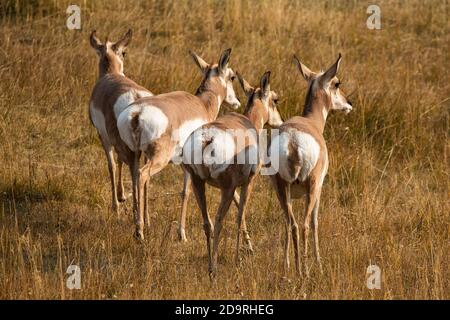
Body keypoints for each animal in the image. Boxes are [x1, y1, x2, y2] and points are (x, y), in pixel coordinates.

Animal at [88, 29, 153, 215]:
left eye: (124, 52)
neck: (111, 74)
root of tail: (136, 98)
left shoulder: (104, 137)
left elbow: (112, 165)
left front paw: (116, 204)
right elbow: (117, 162)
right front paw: (121, 196)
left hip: (130, 149)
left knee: (135, 172)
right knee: (145, 175)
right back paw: (145, 214)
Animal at [118, 47, 241, 238]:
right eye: (232, 76)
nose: (237, 103)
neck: (202, 104)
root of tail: (137, 113)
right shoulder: (189, 164)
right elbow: (186, 192)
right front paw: (182, 234)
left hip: (134, 155)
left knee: (136, 177)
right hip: (158, 159)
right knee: (142, 175)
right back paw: (140, 231)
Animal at [182, 70, 282, 278]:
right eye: (275, 99)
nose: (280, 122)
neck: (248, 123)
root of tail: (208, 138)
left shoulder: (234, 187)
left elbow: (240, 214)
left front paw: (249, 247)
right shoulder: (247, 182)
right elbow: (240, 214)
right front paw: (239, 258)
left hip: (198, 183)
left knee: (207, 222)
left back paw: (210, 264)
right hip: (224, 190)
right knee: (219, 220)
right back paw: (214, 269)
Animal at [268, 53, 354, 276]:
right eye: (336, 83)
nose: (349, 103)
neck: (310, 121)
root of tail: (293, 141)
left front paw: (287, 265)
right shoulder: (319, 187)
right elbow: (316, 221)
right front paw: (319, 262)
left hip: (282, 190)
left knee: (292, 224)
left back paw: (292, 270)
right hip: (312, 187)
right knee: (305, 224)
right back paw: (305, 271)